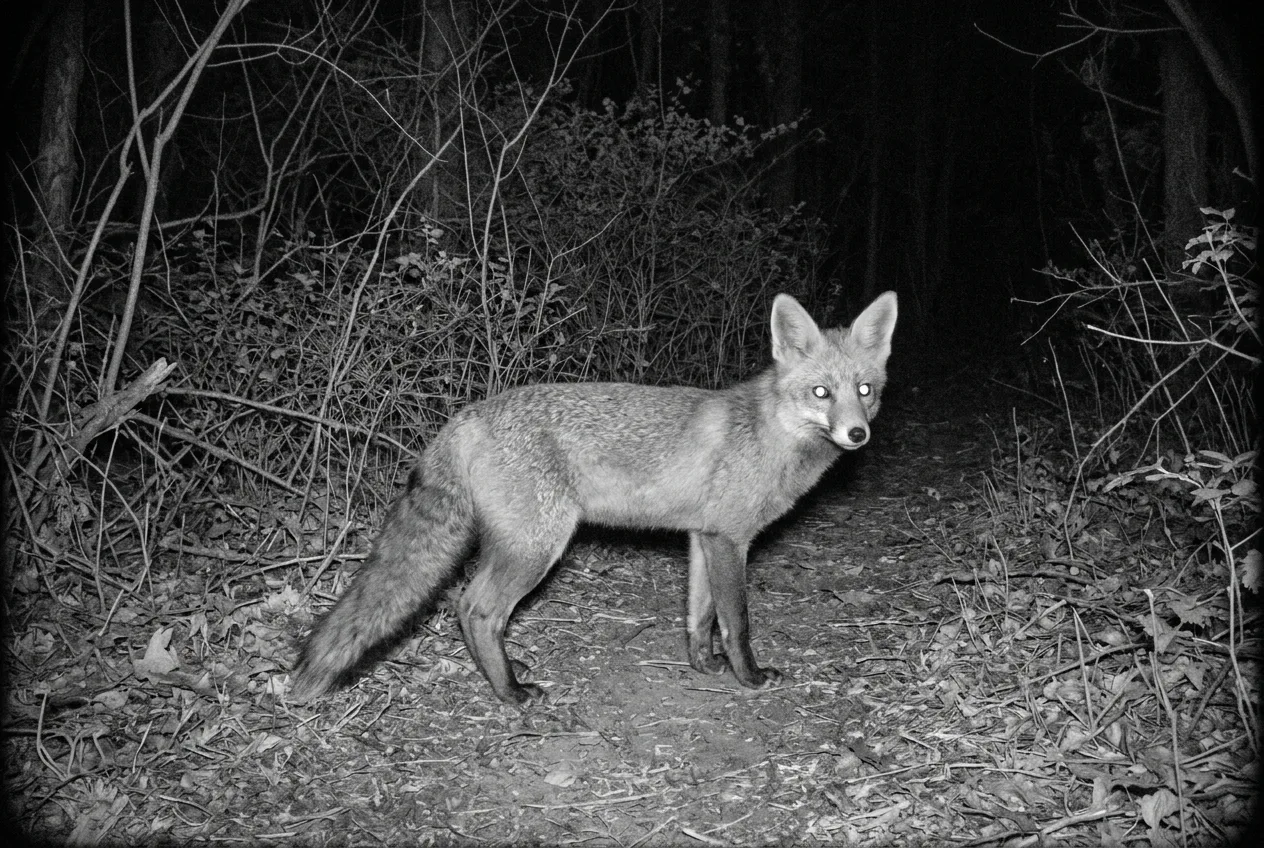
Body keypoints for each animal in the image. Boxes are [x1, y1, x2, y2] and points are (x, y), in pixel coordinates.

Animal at [292, 291, 898, 705]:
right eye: (820, 392)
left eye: (865, 391)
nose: (857, 435)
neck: (771, 434)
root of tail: (467, 415)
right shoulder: (730, 539)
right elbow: (736, 622)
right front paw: (748, 677)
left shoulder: (702, 537)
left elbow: (698, 616)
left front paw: (702, 667)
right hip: (537, 546)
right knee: (475, 609)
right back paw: (511, 694)